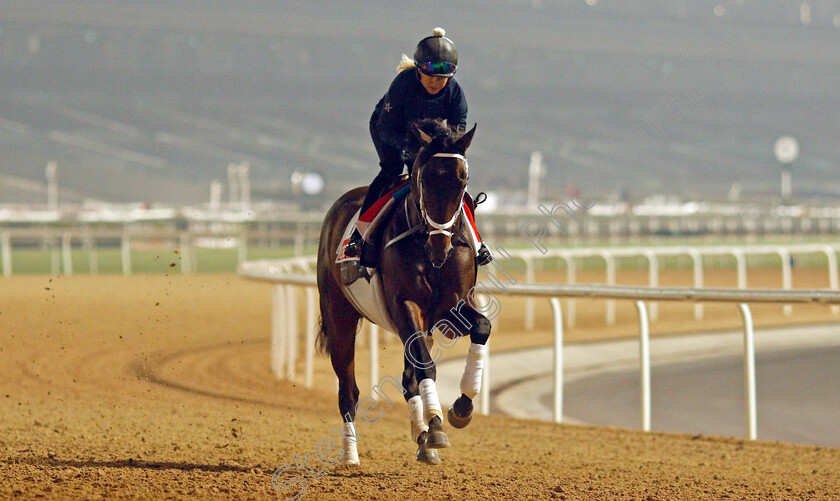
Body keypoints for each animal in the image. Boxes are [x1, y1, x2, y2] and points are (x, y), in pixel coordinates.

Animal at [316, 121, 492, 464]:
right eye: (425, 179)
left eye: (462, 180)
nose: (440, 245)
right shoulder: (405, 306)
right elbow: (426, 365)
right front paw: (436, 423)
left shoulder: (451, 308)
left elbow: (481, 326)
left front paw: (461, 408)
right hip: (338, 314)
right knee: (348, 390)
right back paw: (350, 455)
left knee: (408, 378)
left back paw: (422, 438)